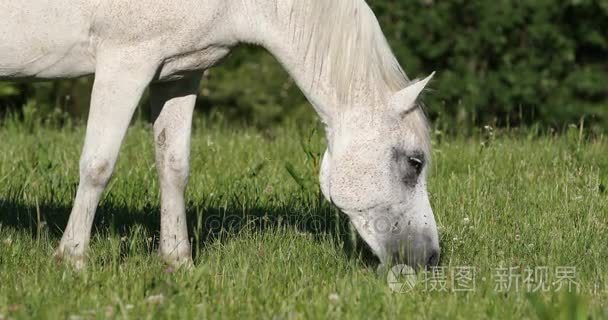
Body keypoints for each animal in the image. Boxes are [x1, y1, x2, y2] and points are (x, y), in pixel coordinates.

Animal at [2, 0, 444, 270]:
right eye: (414, 162)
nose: (429, 257)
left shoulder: (179, 74)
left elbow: (173, 168)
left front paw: (178, 262)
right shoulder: (125, 62)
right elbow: (98, 166)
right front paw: (73, 260)